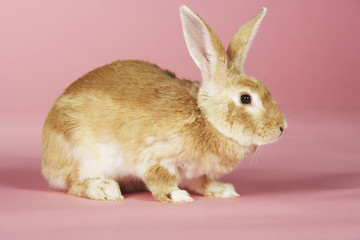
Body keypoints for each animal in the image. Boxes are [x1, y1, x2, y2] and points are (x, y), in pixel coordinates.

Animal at [40, 5, 286, 202]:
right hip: (83, 155)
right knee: (73, 182)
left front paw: (223, 190)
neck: (206, 117)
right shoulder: (158, 156)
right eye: (246, 98)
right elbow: (161, 180)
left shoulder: (197, 172)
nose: (282, 128)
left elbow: (202, 182)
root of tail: (47, 160)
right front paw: (178, 196)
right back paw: (104, 189)